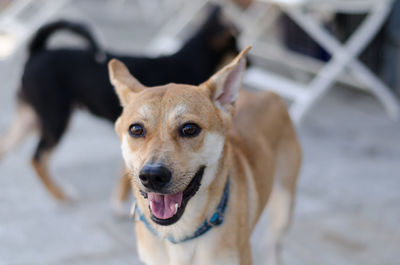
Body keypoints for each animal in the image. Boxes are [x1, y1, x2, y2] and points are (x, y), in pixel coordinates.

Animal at [0, 6, 238, 200]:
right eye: (235, 45)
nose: (246, 60)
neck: (186, 60)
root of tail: (37, 51)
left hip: (30, 119)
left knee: (6, 147)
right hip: (55, 119)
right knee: (37, 159)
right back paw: (61, 195)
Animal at [108, 46, 302, 262]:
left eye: (189, 129)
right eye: (136, 129)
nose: (152, 176)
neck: (179, 235)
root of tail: (268, 94)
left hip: (284, 204)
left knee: (272, 243)